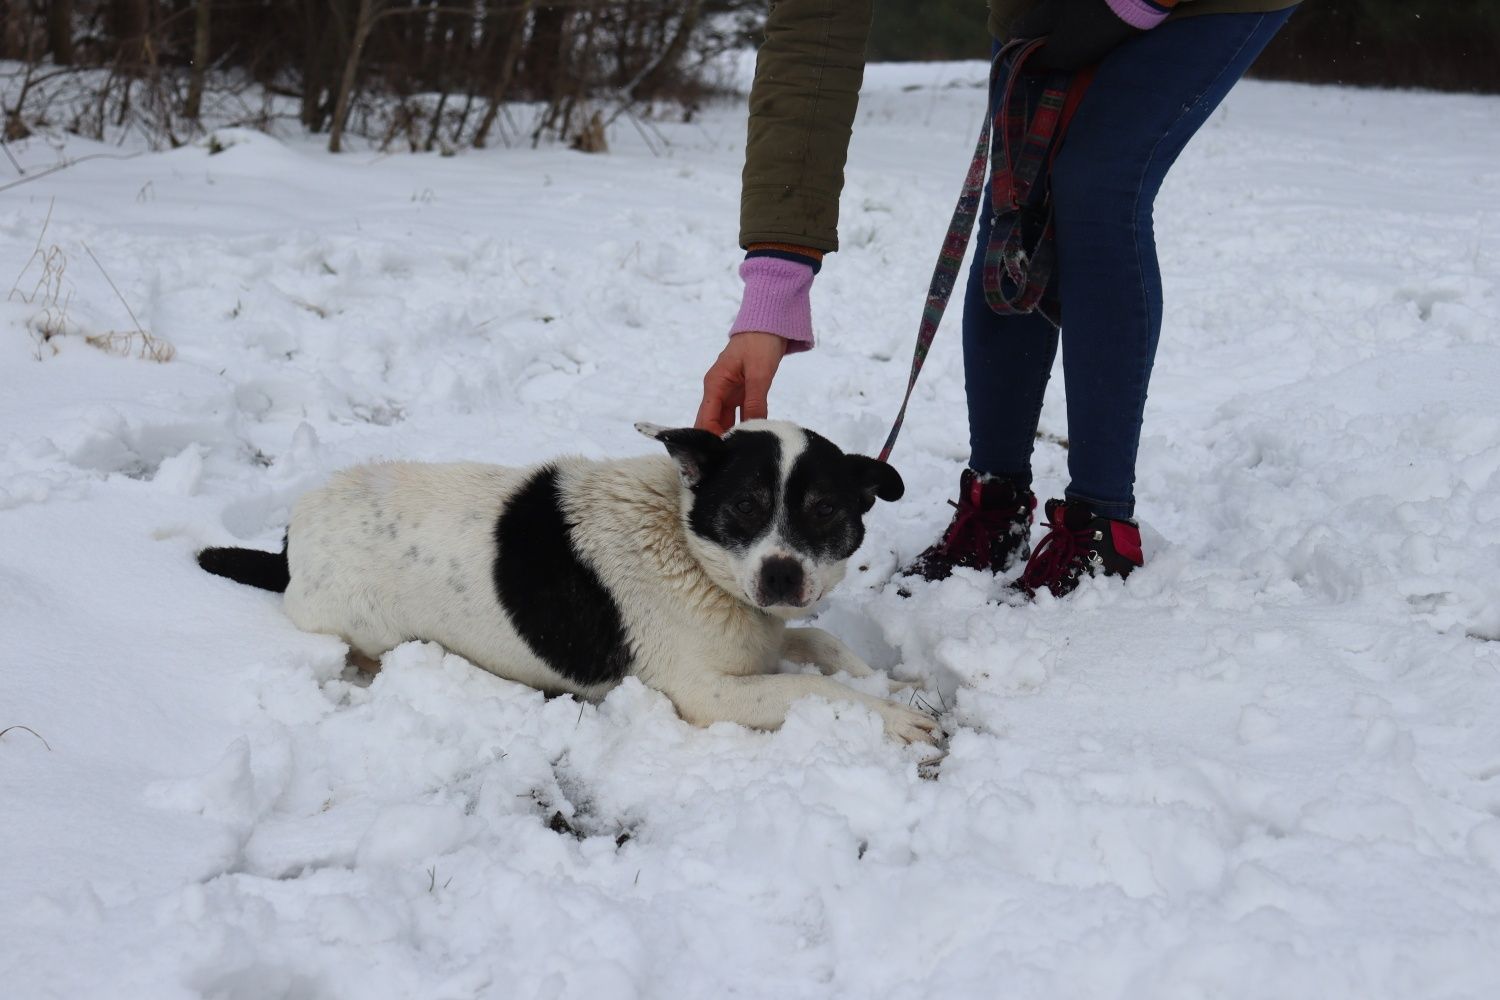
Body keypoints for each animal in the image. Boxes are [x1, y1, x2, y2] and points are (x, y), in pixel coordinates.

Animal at [193, 419, 930, 743]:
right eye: (745, 505)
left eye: (825, 510)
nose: (781, 576)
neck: (688, 547)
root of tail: (293, 535)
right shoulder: (707, 692)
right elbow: (810, 686)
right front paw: (897, 718)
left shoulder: (764, 641)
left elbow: (826, 648)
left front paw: (895, 685)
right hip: (363, 626)